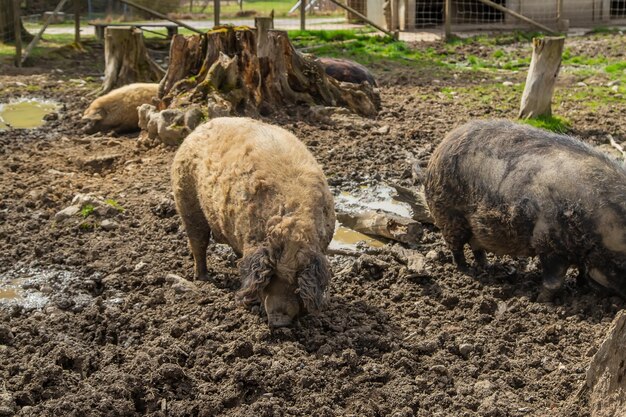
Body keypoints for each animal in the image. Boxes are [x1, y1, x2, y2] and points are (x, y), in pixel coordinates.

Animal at [169, 116, 336, 324]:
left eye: (296, 276)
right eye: (271, 274)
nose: (278, 320)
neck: (291, 224)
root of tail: (200, 127)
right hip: (187, 203)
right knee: (198, 244)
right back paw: (203, 279)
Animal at [422, 119, 624, 300]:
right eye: (622, 264)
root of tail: (443, 145)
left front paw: (580, 286)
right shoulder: (547, 241)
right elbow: (554, 281)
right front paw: (541, 300)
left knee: (476, 245)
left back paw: (486, 267)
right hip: (448, 215)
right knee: (456, 246)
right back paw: (465, 269)